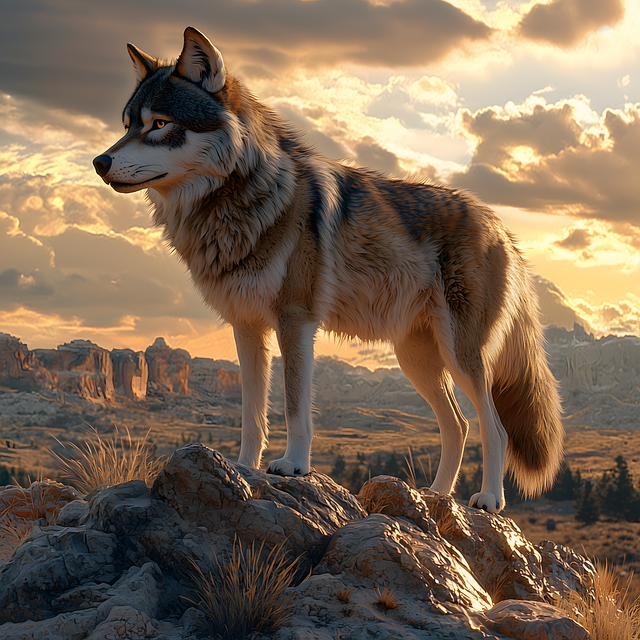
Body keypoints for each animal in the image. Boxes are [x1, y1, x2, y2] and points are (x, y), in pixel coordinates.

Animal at [93, 27, 563, 512]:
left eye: (160, 124)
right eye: (127, 125)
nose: (99, 162)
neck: (235, 204)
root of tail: (500, 226)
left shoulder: (295, 321)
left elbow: (294, 407)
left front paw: (293, 466)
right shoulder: (246, 328)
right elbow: (251, 416)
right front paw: (242, 469)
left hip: (461, 355)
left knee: (495, 427)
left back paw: (488, 499)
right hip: (416, 359)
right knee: (458, 425)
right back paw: (434, 495)